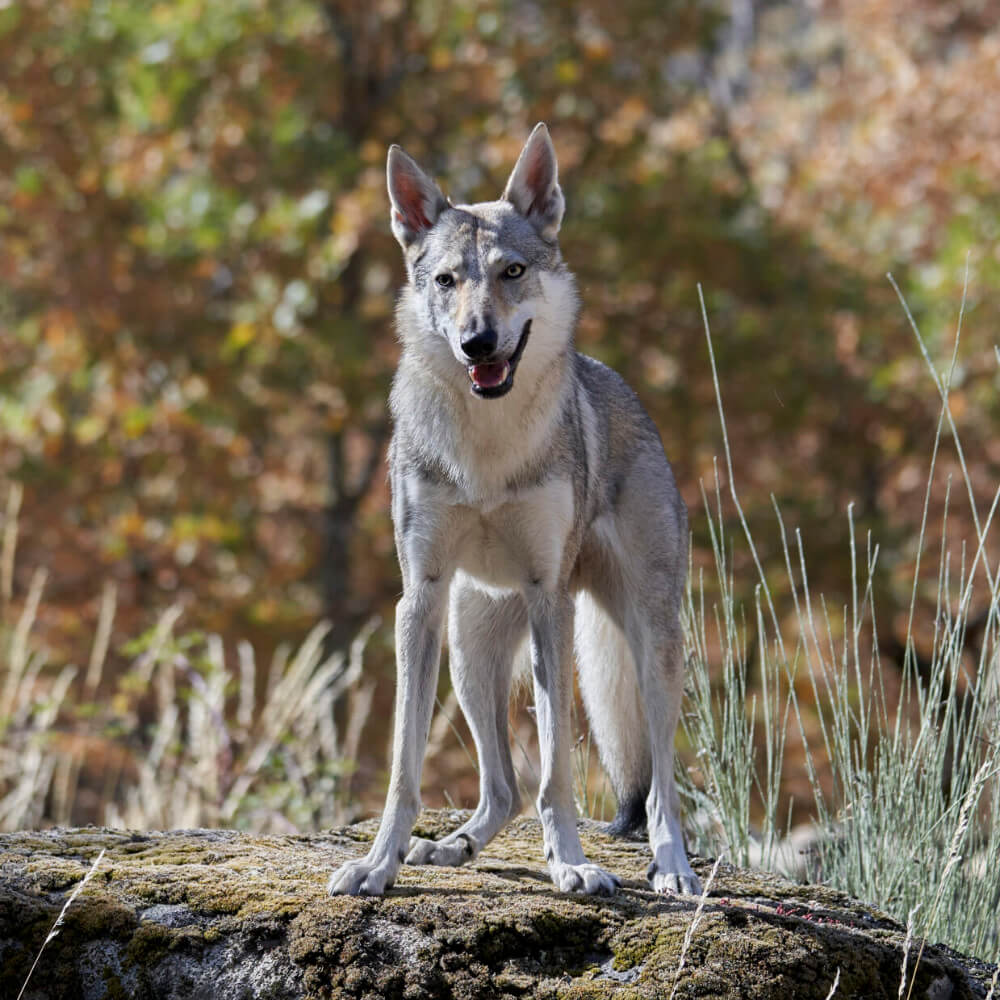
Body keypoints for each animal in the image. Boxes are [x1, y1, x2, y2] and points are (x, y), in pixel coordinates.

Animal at [330, 125, 704, 900]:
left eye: (511, 271)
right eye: (447, 280)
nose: (477, 342)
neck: (487, 448)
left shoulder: (547, 599)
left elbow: (557, 770)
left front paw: (571, 863)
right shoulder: (419, 600)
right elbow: (404, 766)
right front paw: (379, 863)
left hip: (650, 642)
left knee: (660, 785)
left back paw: (673, 868)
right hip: (468, 651)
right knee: (499, 787)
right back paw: (454, 845)